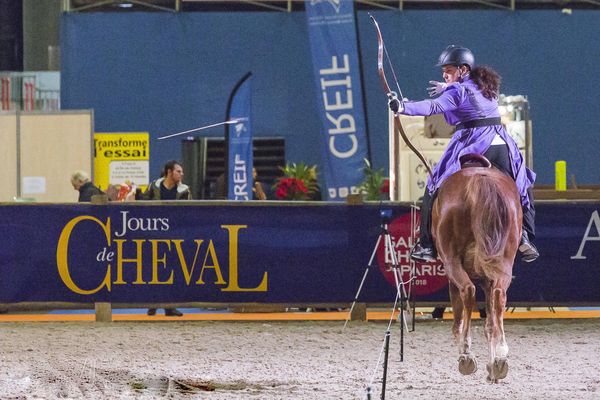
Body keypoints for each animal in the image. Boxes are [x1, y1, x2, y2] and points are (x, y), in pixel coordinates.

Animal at [432, 155, 520, 382]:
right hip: (503, 262)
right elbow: (489, 322)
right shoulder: (488, 278)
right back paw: (501, 357)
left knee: (468, 292)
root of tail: (480, 179)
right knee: (499, 296)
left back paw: (466, 355)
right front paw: (493, 367)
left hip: (452, 262)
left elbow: (459, 317)